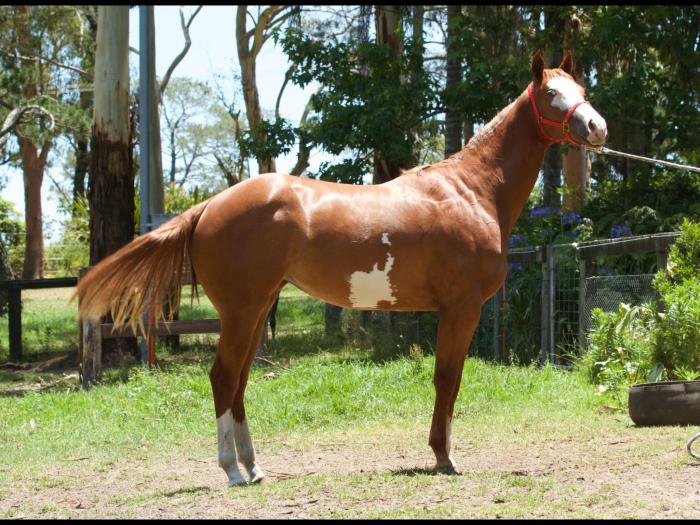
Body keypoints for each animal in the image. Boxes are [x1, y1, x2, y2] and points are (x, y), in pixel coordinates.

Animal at [75, 50, 607, 486]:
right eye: (552, 95)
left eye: (582, 90)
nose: (597, 127)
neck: (472, 190)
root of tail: (208, 207)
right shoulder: (461, 309)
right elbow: (447, 379)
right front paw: (443, 457)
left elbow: (446, 379)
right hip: (242, 311)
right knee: (224, 378)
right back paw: (232, 471)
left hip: (256, 311)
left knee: (239, 381)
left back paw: (254, 467)